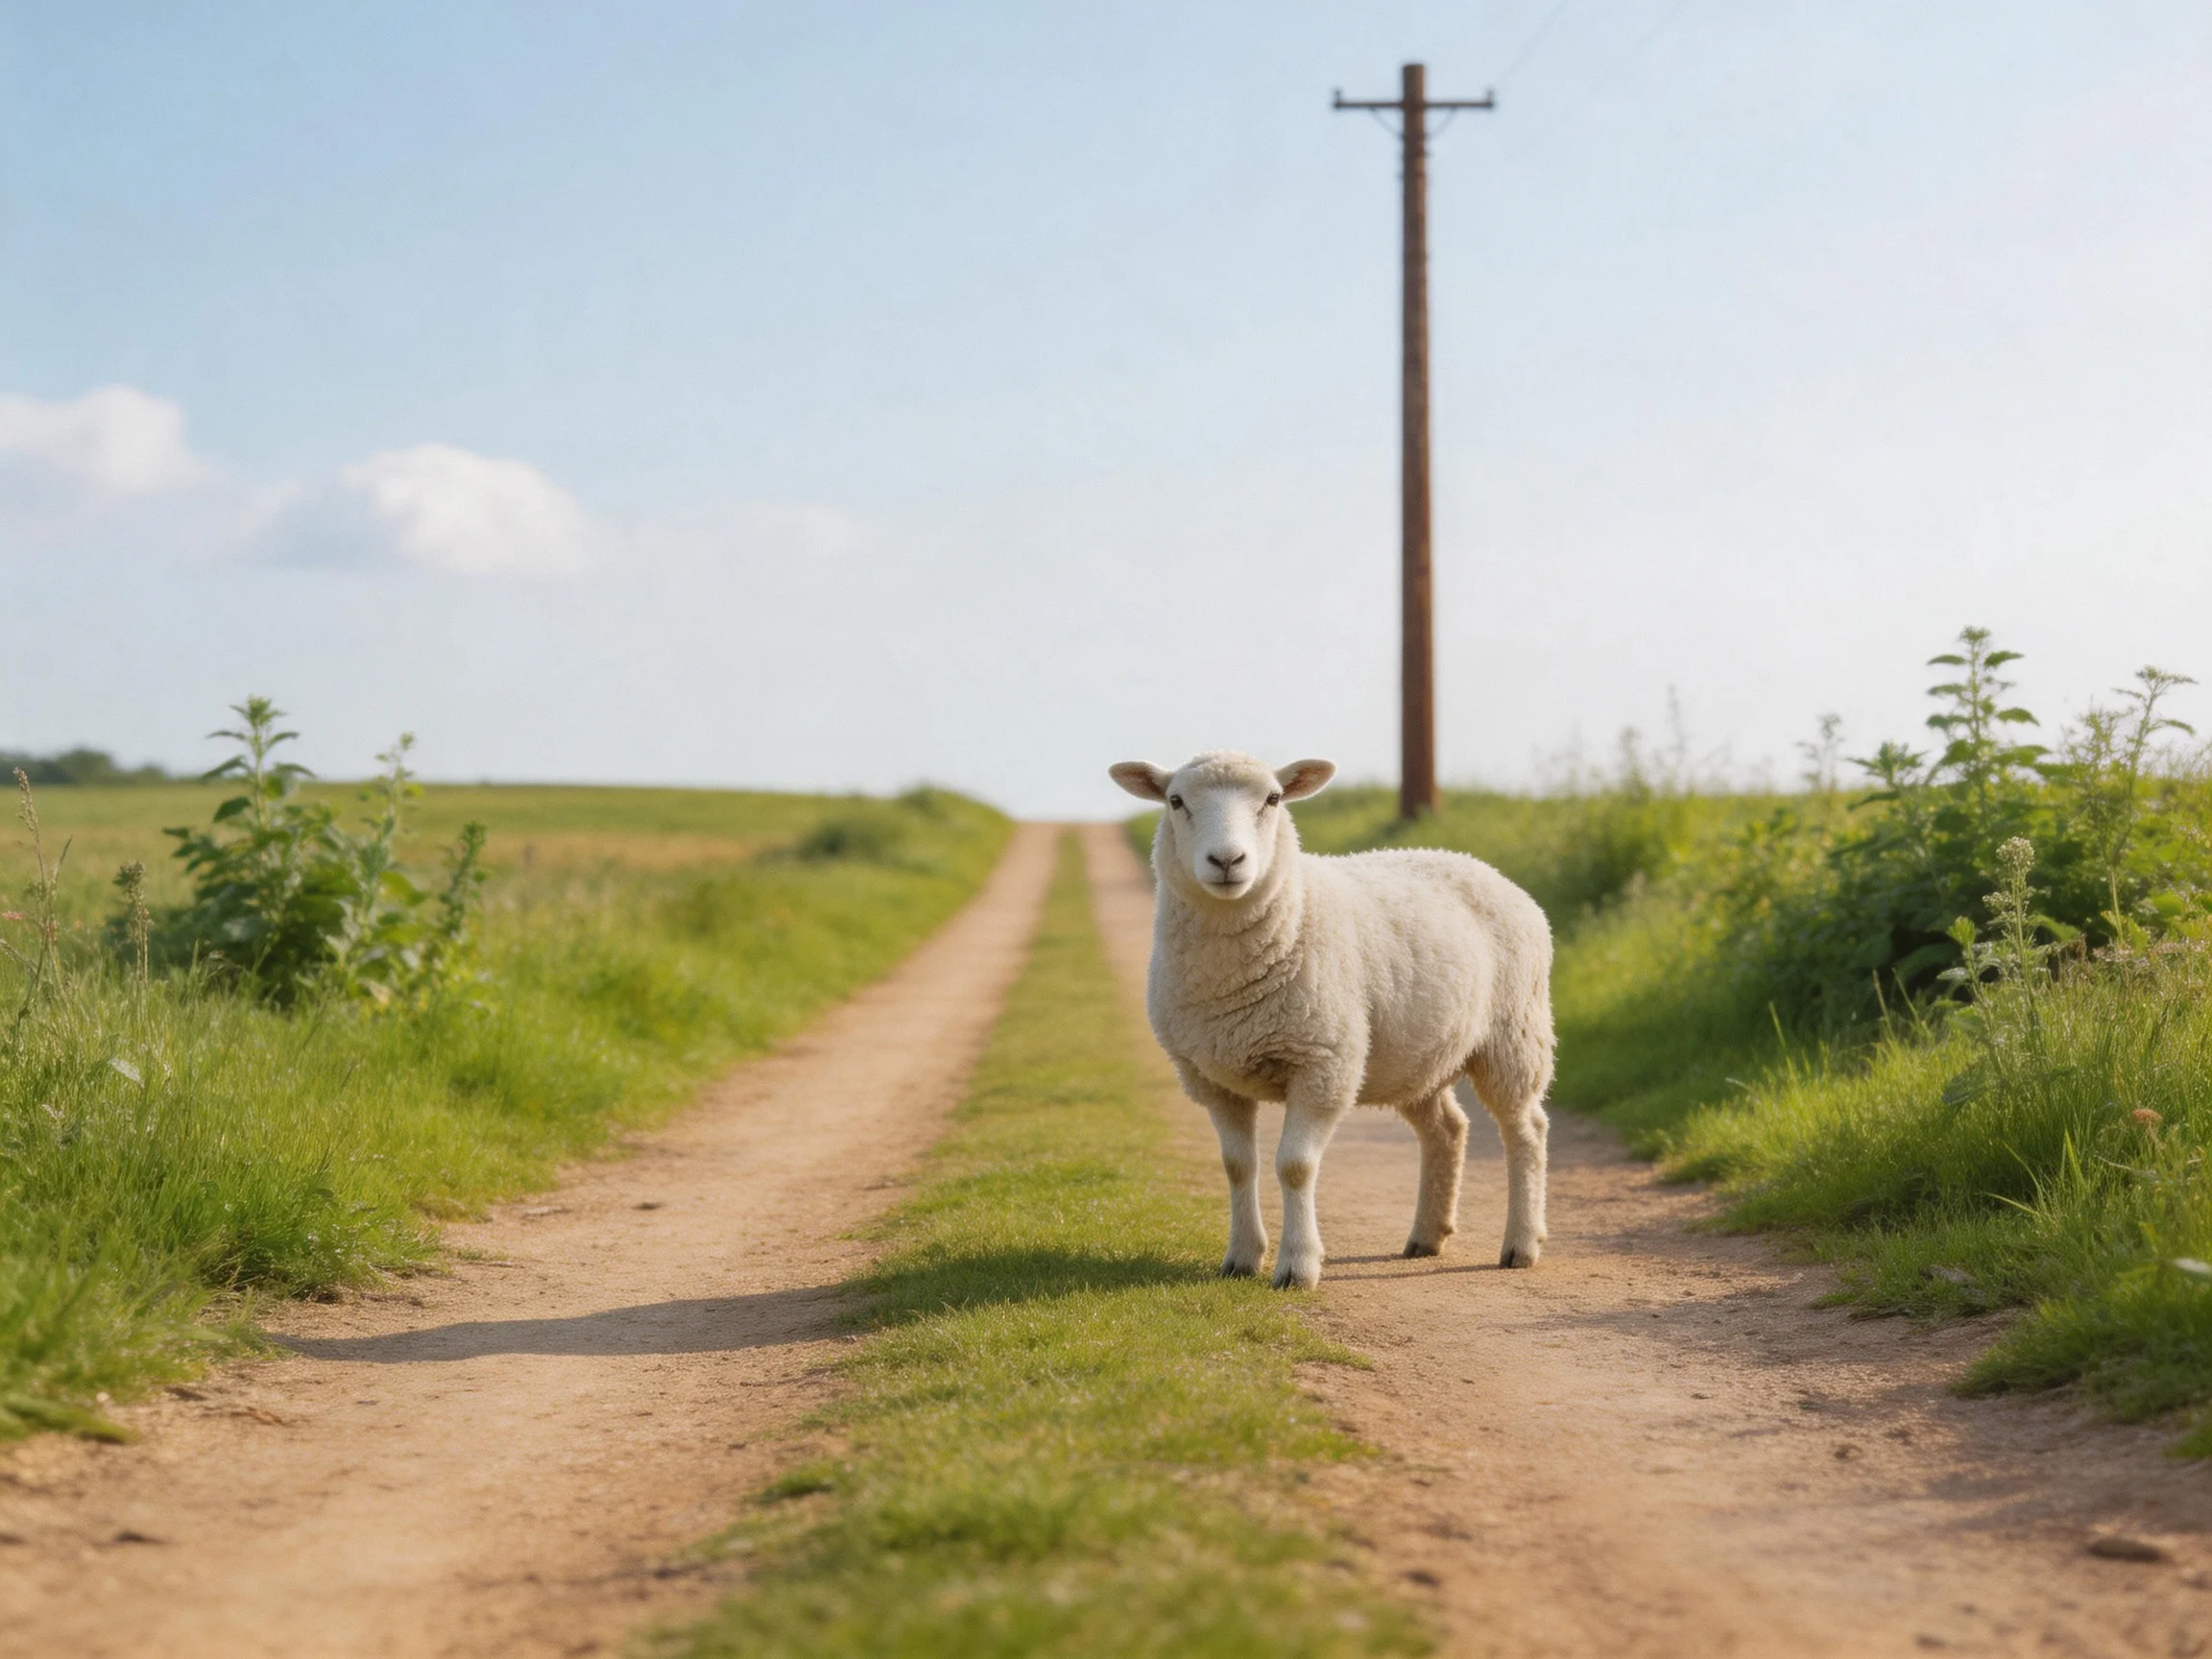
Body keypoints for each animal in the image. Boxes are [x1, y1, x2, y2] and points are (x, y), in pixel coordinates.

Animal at [1108, 750, 1555, 1289]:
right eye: (1175, 801)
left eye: (1273, 799)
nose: (1227, 862)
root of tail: (1477, 864)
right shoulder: (1212, 1077)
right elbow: (1237, 1166)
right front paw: (1241, 1257)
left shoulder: (1322, 1064)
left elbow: (1295, 1166)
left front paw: (1297, 1266)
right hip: (1412, 1057)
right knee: (1447, 1129)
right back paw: (1426, 1236)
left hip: (1514, 1034)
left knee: (1526, 1130)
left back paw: (1521, 1243)